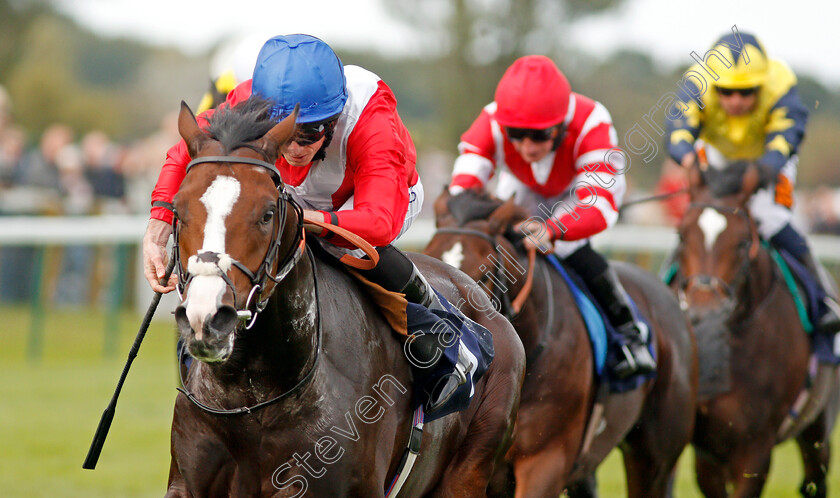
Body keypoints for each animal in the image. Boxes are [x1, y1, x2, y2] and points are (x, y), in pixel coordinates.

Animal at [164, 95, 524, 496]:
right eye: (177, 208)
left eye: (267, 213)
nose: (207, 318)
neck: (252, 395)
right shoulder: (187, 482)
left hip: (469, 469)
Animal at [672, 165, 840, 496]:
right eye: (682, 235)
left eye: (741, 242)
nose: (704, 310)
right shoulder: (706, 448)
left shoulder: (755, 447)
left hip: (819, 426)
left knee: (815, 479)